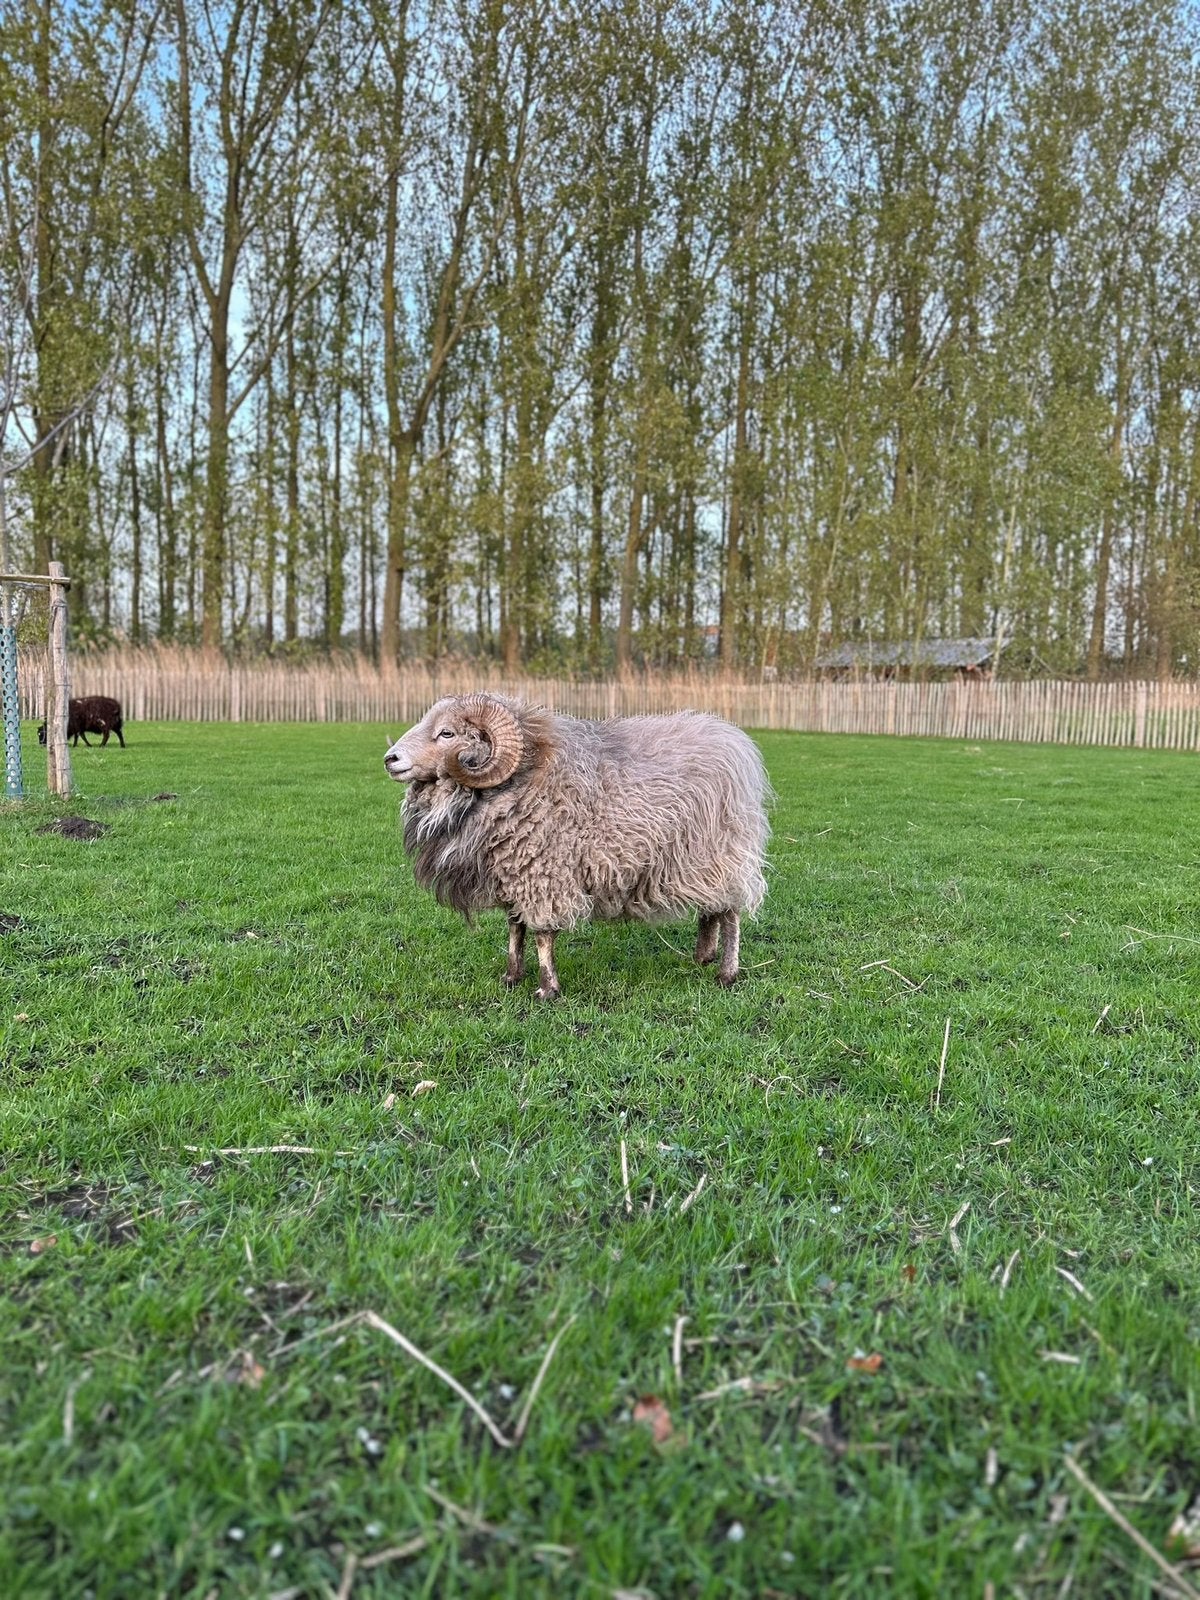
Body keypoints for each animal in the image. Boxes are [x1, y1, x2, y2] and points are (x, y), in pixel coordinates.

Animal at [383, 693, 770, 998]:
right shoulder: (512, 871)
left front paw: (547, 989)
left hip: (721, 854)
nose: (390, 759)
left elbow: (541, 934)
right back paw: (703, 956)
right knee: (711, 910)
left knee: (730, 914)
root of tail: (735, 741)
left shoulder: (541, 871)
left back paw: (726, 973)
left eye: (447, 732)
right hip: (698, 864)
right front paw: (511, 976)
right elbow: (515, 928)